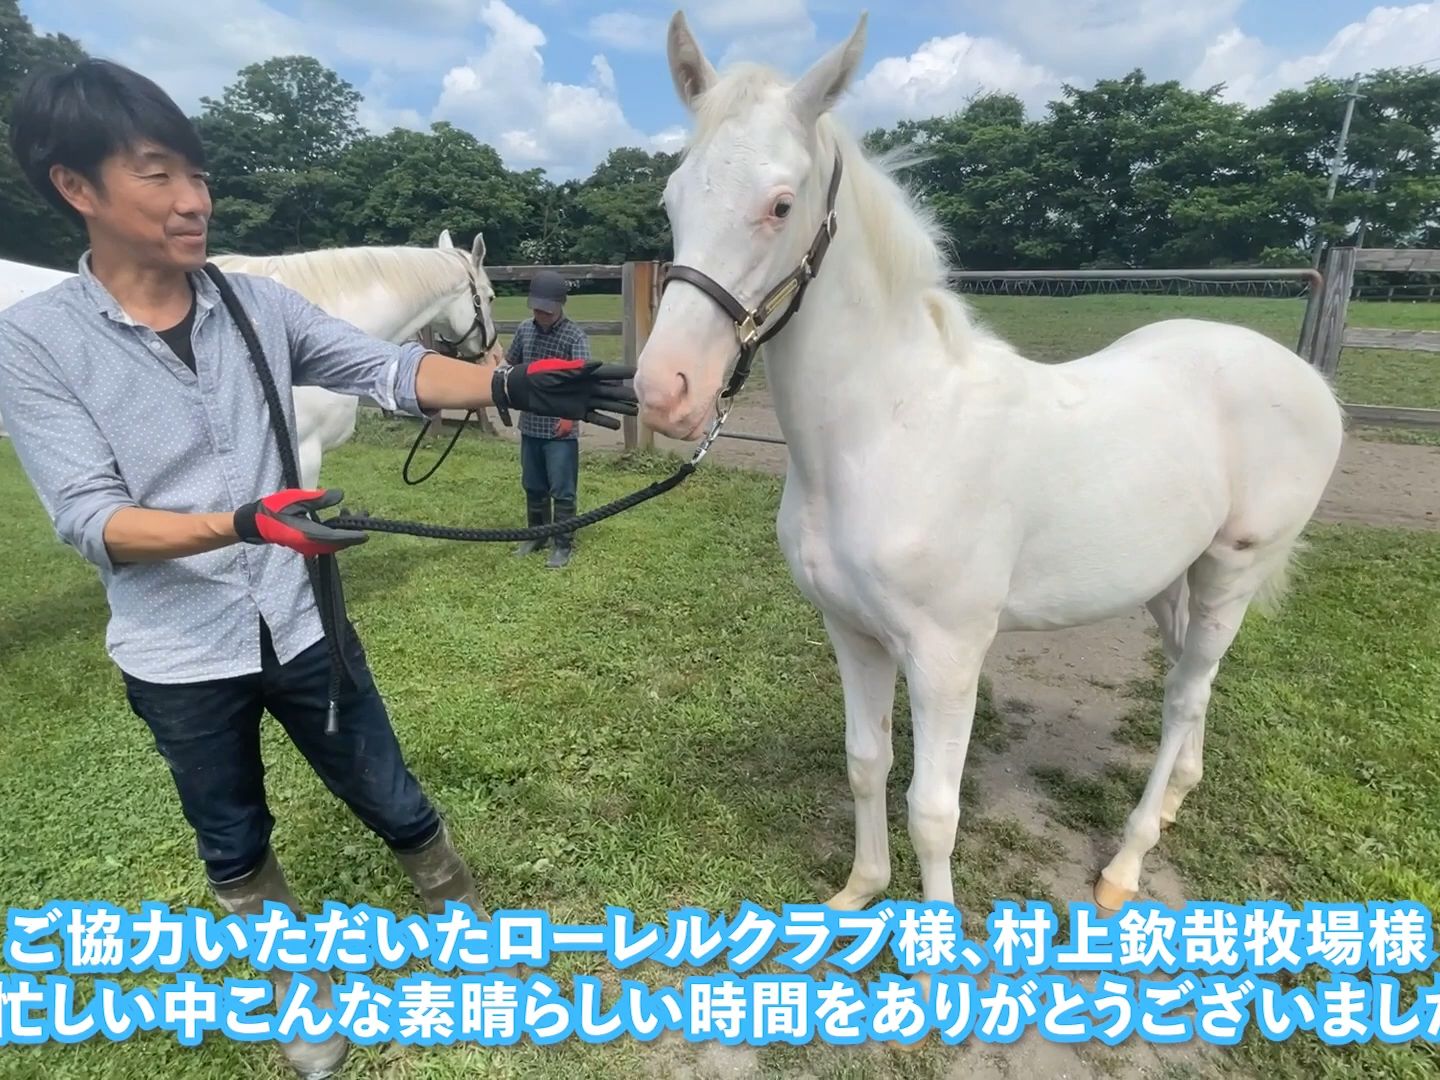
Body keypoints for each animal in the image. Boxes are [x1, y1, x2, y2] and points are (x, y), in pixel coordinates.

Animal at [633, 10, 1345, 919]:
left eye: (781, 204)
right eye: (674, 198)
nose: (665, 391)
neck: (891, 432)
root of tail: (1308, 380)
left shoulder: (948, 655)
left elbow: (934, 811)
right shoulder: (852, 632)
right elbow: (866, 764)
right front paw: (859, 891)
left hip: (1232, 570)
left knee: (1185, 691)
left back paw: (1126, 863)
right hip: (1168, 579)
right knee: (1193, 686)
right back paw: (1176, 802)